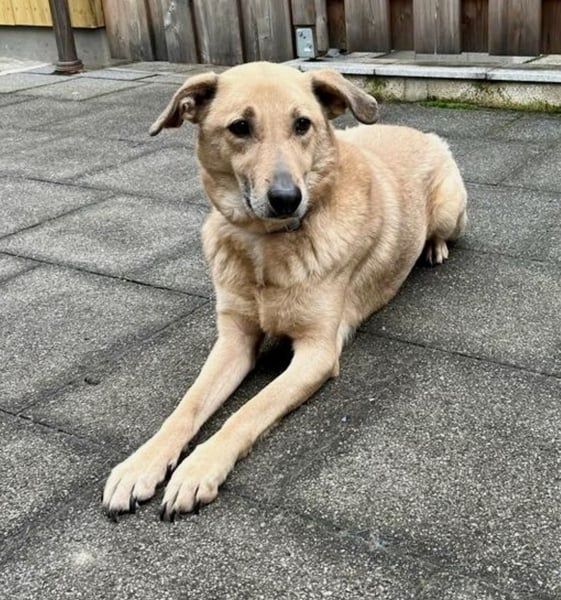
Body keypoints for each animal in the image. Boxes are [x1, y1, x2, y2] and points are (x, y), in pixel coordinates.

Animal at [103, 62, 467, 521]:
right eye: (240, 127)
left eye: (302, 124)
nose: (286, 198)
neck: (266, 246)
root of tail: (421, 132)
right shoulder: (234, 340)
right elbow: (187, 406)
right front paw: (142, 464)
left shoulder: (316, 352)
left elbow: (247, 411)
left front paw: (198, 468)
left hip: (450, 210)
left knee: (441, 233)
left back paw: (433, 249)